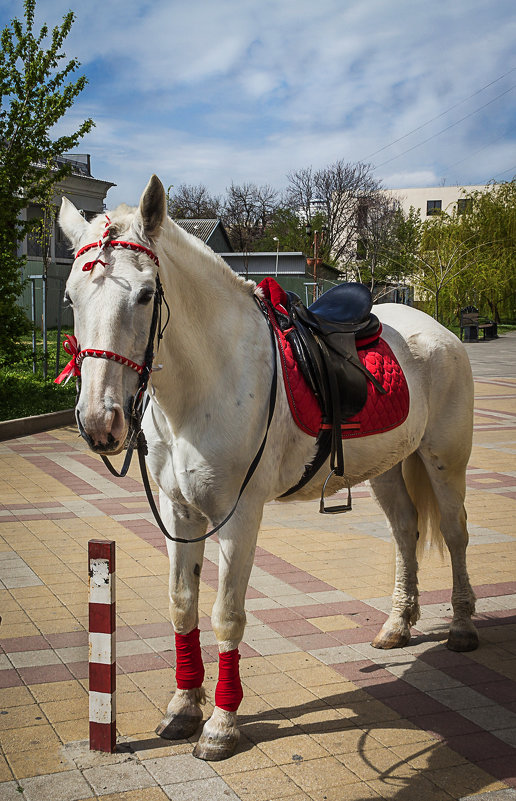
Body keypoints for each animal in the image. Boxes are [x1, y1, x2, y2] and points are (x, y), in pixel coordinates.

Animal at [58, 177, 478, 764]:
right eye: (70, 297)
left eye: (144, 295)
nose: (100, 422)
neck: (209, 380)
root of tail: (439, 330)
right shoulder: (179, 513)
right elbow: (182, 605)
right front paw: (183, 706)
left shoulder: (238, 517)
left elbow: (226, 614)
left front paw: (221, 724)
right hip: (388, 467)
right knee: (406, 532)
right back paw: (398, 624)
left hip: (444, 459)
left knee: (456, 534)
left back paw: (461, 625)